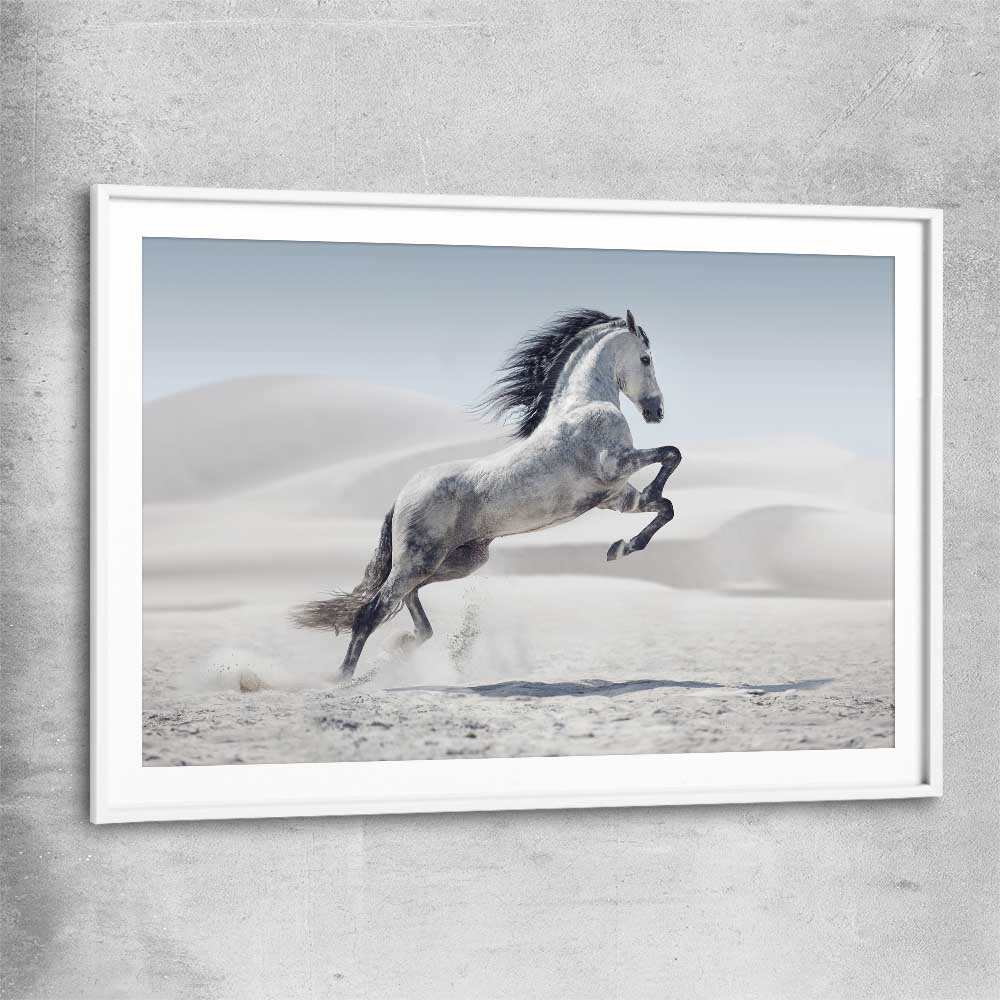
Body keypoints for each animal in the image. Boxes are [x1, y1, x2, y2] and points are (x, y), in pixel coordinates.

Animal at [294, 308, 682, 680]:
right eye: (646, 358)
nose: (657, 411)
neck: (583, 405)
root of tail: (402, 496)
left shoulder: (615, 497)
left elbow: (665, 506)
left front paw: (621, 548)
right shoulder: (614, 465)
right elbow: (672, 454)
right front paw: (629, 533)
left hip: (457, 561)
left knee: (407, 601)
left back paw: (399, 648)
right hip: (420, 560)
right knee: (372, 610)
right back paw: (343, 678)